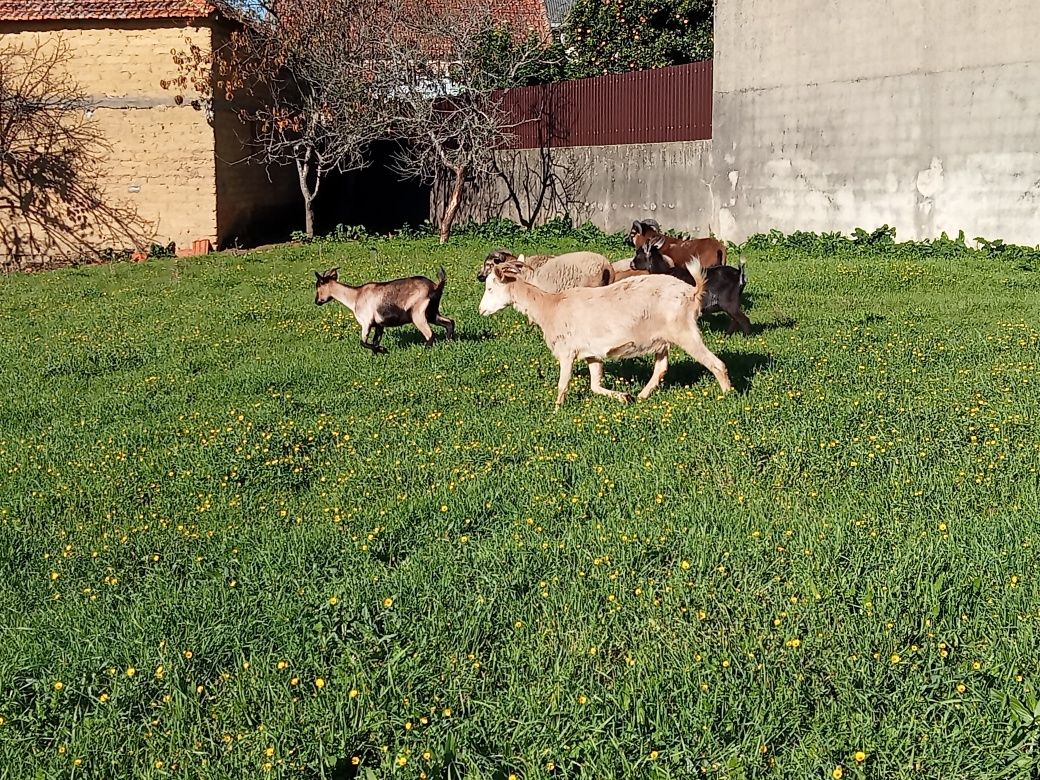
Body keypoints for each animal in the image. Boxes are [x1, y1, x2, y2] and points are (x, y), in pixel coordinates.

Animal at [309, 268, 453, 353]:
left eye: (318, 285)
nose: (317, 301)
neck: (356, 296)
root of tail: (435, 286)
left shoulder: (366, 322)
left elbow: (363, 342)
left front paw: (383, 350)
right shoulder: (379, 324)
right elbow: (375, 340)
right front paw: (377, 352)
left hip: (418, 313)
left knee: (430, 334)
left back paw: (424, 350)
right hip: (431, 312)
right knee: (449, 322)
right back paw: (449, 342)